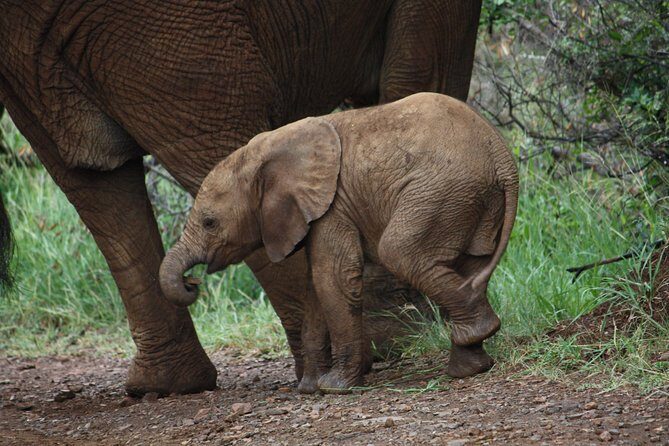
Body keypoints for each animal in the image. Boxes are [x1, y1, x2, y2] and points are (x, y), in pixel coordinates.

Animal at [160, 93, 519, 393]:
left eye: (209, 223)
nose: (192, 282)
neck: (262, 151)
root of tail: (501, 154)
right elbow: (314, 287)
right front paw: (308, 388)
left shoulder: (332, 204)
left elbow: (331, 277)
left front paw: (334, 387)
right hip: (470, 199)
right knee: (470, 264)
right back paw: (469, 366)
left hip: (443, 190)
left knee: (399, 253)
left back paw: (476, 339)